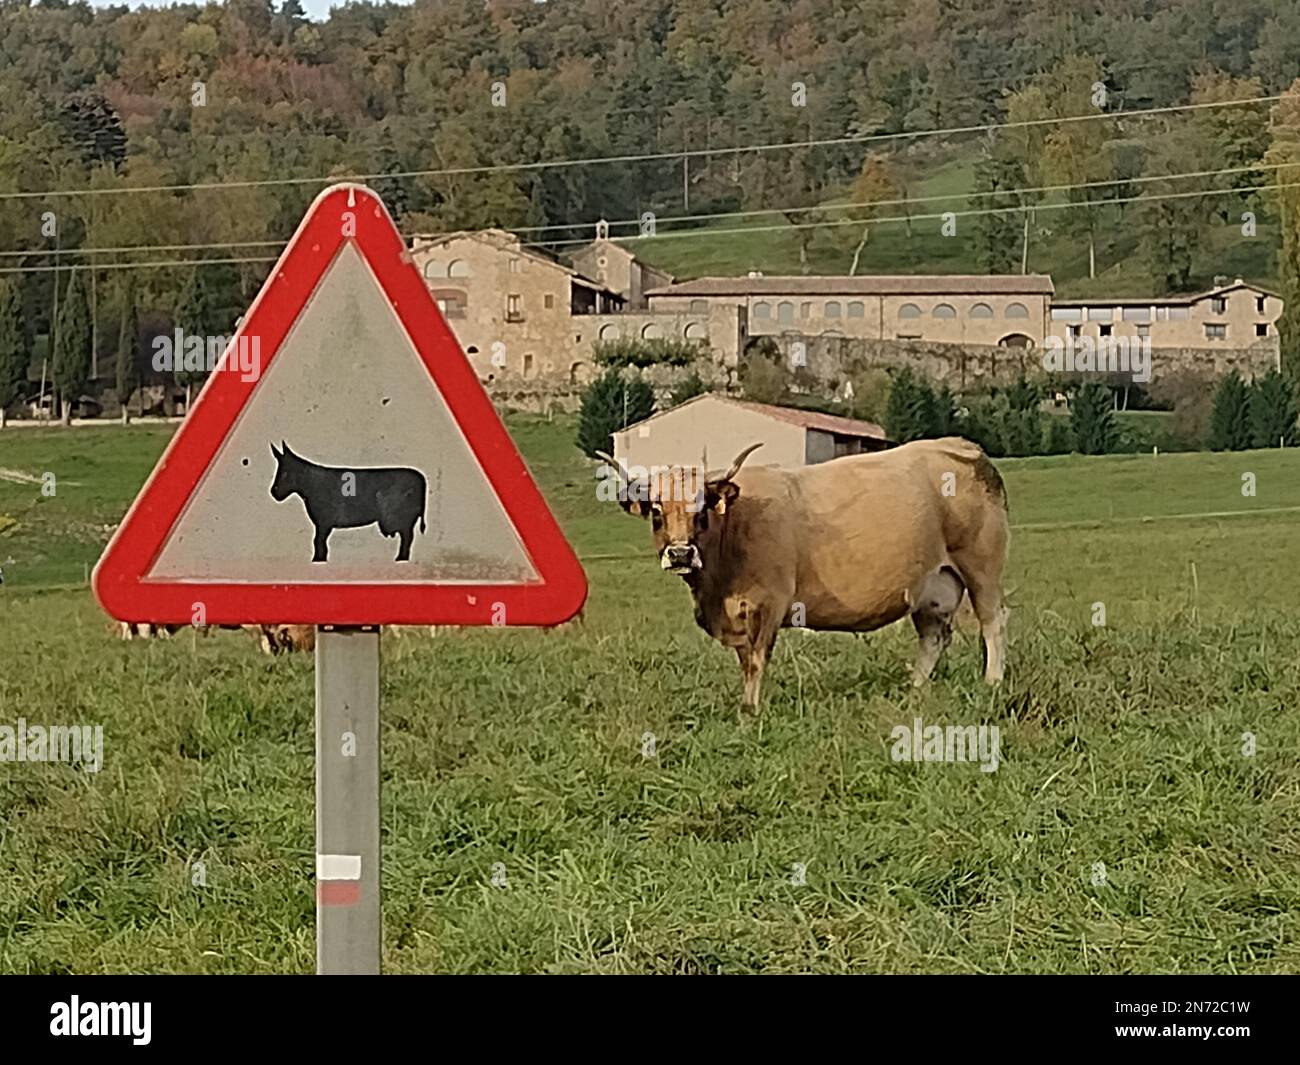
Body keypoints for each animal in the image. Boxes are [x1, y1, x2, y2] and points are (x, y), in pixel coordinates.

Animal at [269, 442, 426, 566]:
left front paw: (318, 559)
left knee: (407, 538)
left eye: (285, 473)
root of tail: (420, 478)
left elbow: (318, 541)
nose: (273, 491)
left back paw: (401, 559)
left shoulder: (323, 523)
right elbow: (319, 542)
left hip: (406, 519)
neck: (312, 485)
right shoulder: (323, 524)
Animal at [603, 436, 1008, 712]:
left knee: (992, 621)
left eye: (702, 511)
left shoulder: (769, 605)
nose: (681, 553)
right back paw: (914, 688)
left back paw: (992, 682)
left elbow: (756, 661)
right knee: (934, 636)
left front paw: (750, 710)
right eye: (656, 513)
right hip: (933, 584)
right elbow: (744, 661)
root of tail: (961, 446)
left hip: (982, 566)